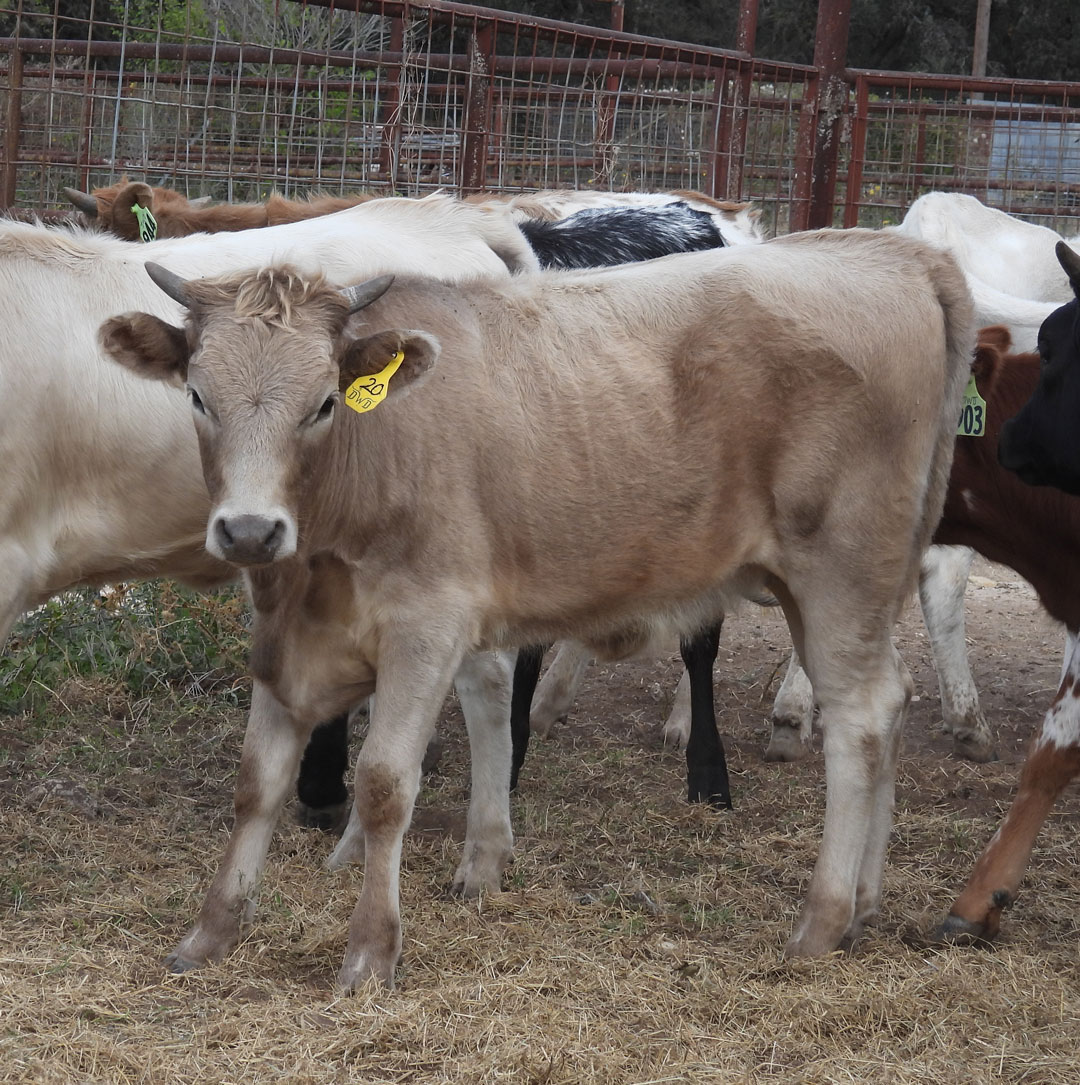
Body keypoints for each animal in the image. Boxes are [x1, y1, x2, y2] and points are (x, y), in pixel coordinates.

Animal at [101, 228, 976, 993]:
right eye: (198, 396)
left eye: (322, 404)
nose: (250, 529)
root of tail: (894, 251)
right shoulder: (286, 635)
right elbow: (257, 781)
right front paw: (208, 936)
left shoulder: (426, 623)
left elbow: (384, 784)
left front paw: (370, 953)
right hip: (834, 584)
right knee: (891, 700)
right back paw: (863, 905)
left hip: (840, 567)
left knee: (859, 717)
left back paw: (821, 921)